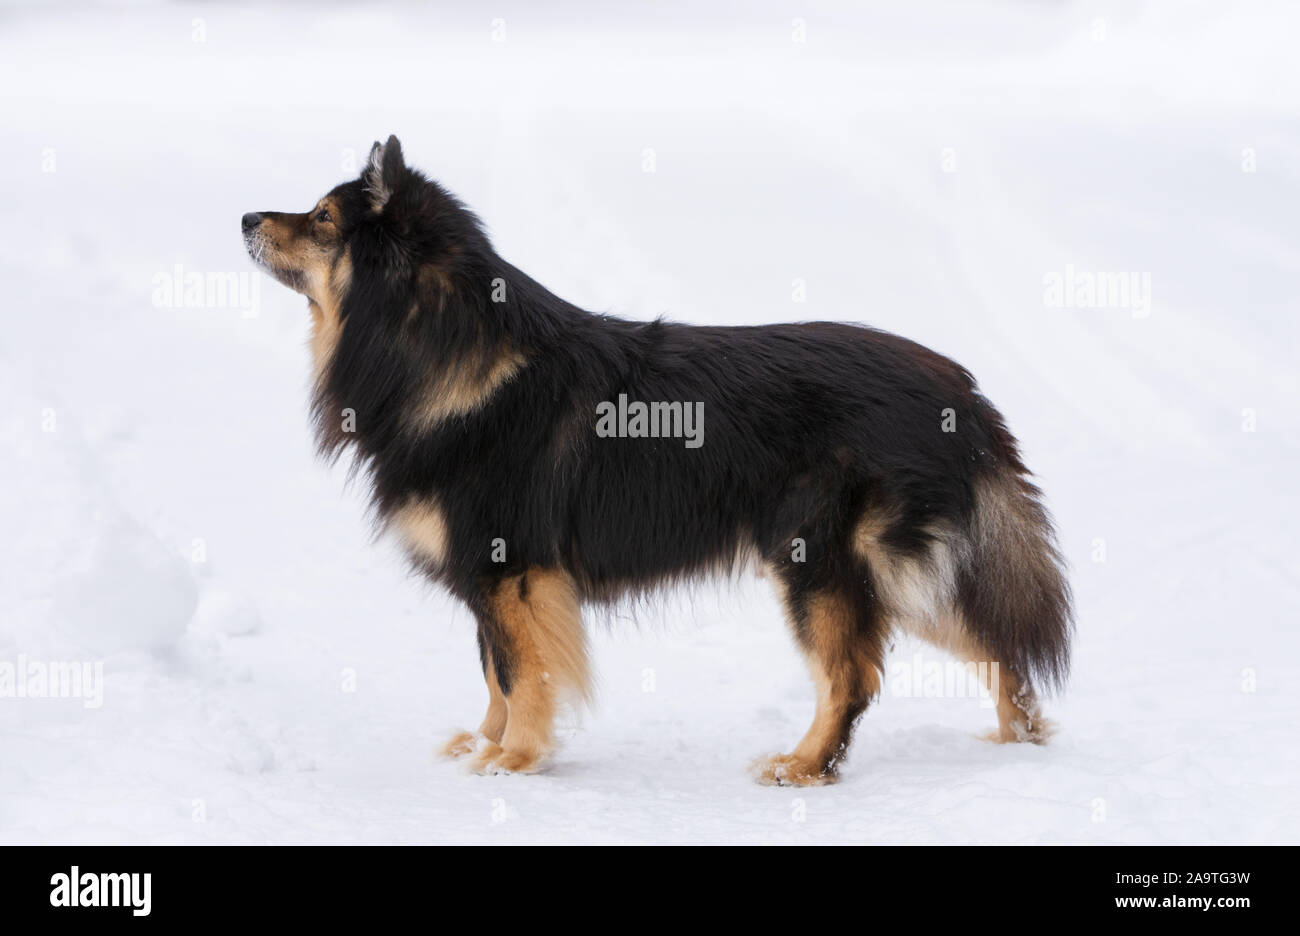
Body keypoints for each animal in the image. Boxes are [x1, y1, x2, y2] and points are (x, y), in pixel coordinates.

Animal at [244, 135, 1076, 785]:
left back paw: (804, 765)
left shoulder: (510, 570)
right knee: (998, 648)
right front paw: (483, 747)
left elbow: (519, 675)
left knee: (852, 677)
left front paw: (513, 762)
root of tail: (962, 393)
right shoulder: (495, 580)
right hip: (898, 572)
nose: (246, 217)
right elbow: (494, 674)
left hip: (821, 560)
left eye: (322, 218)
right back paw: (1017, 747)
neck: (441, 347)